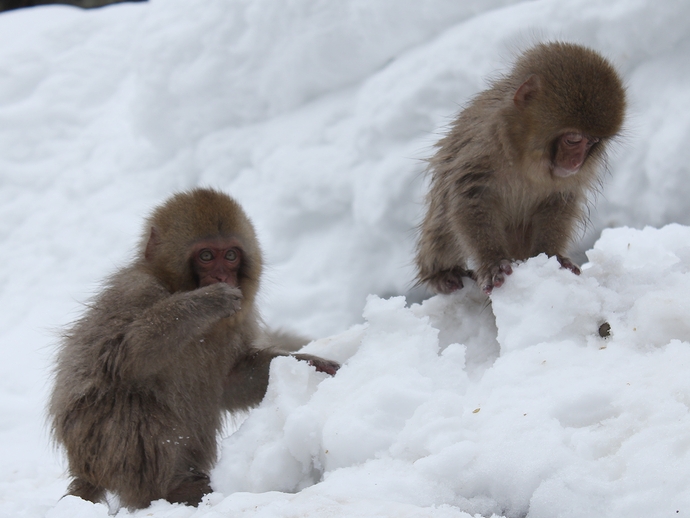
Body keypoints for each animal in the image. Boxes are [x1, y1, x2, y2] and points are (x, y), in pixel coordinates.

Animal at [48, 188, 338, 512]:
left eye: (231, 255)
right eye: (207, 256)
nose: (223, 277)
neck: (173, 286)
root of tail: (86, 469)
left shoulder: (239, 322)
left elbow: (234, 379)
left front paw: (311, 363)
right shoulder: (135, 291)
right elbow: (122, 357)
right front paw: (206, 302)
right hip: (95, 445)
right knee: (130, 401)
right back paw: (172, 490)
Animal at [414, 42, 624, 296]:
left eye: (592, 142)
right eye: (573, 139)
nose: (575, 162)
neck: (526, 154)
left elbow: (559, 201)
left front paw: (552, 255)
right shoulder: (483, 143)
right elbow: (470, 197)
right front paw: (493, 261)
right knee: (442, 222)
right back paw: (442, 273)